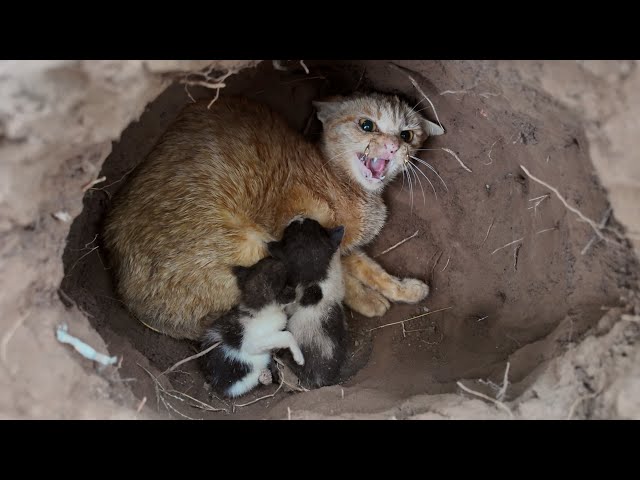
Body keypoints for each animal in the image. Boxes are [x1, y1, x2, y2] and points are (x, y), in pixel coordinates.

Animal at [104, 93, 444, 342]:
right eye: (367, 125)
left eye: (407, 135)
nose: (393, 146)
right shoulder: (308, 242)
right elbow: (344, 279)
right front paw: (369, 301)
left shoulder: (343, 247)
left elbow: (370, 268)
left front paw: (405, 289)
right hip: (251, 245)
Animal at [198, 256, 302, 400]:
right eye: (288, 286)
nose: (278, 258)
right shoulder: (252, 343)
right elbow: (286, 335)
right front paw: (299, 357)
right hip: (237, 378)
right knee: (242, 385)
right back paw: (265, 377)